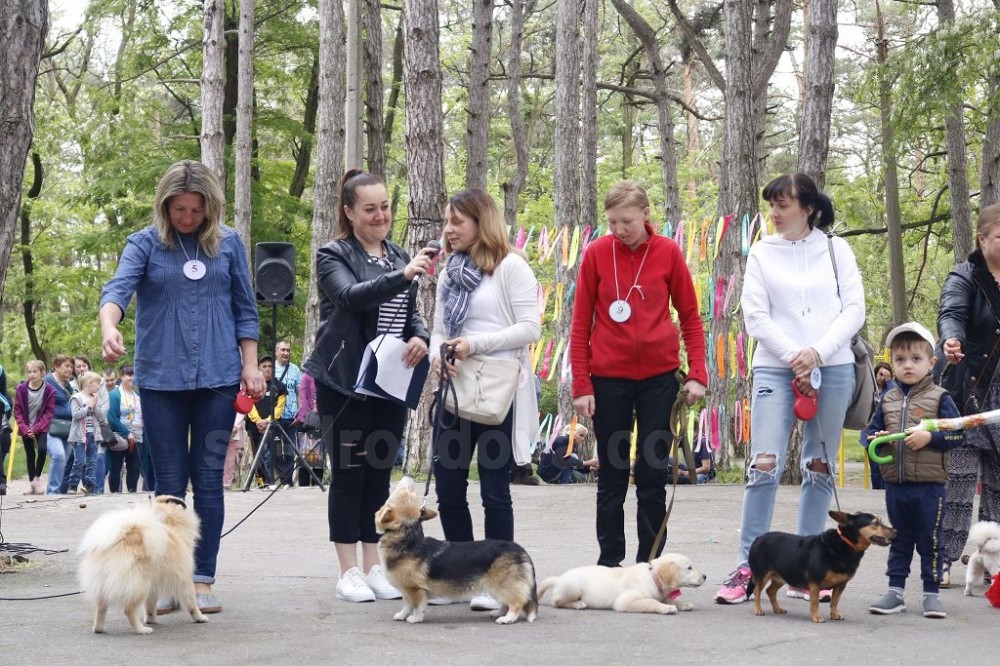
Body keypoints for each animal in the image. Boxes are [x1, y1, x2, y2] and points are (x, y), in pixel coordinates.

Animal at [77, 492, 207, 632]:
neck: (167, 522)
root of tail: (120, 538)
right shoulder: (185, 578)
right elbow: (191, 602)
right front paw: (199, 617)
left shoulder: (153, 587)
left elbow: (150, 606)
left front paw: (151, 620)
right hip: (140, 585)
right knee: (128, 610)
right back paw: (141, 629)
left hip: (106, 584)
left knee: (101, 608)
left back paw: (98, 629)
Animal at [374, 478, 536, 624]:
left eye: (405, 493)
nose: (409, 477)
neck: (407, 540)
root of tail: (520, 549)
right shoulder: (405, 590)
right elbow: (406, 605)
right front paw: (401, 615)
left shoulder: (414, 589)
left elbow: (417, 606)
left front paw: (415, 618)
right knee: (505, 602)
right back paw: (498, 612)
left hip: (503, 584)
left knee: (517, 602)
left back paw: (507, 618)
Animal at [536, 548, 708, 612]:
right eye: (689, 568)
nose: (705, 576)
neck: (652, 577)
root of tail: (559, 578)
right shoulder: (625, 601)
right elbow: (649, 602)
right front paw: (666, 608)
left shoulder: (663, 594)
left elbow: (668, 599)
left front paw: (682, 603)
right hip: (573, 587)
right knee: (556, 601)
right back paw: (578, 604)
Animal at [748, 508, 896, 624]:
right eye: (875, 523)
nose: (896, 530)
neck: (845, 544)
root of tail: (758, 539)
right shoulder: (815, 583)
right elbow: (815, 602)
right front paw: (816, 616)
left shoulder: (841, 585)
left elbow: (834, 601)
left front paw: (835, 614)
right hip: (762, 575)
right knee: (757, 591)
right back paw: (758, 609)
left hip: (781, 576)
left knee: (770, 591)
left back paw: (777, 608)